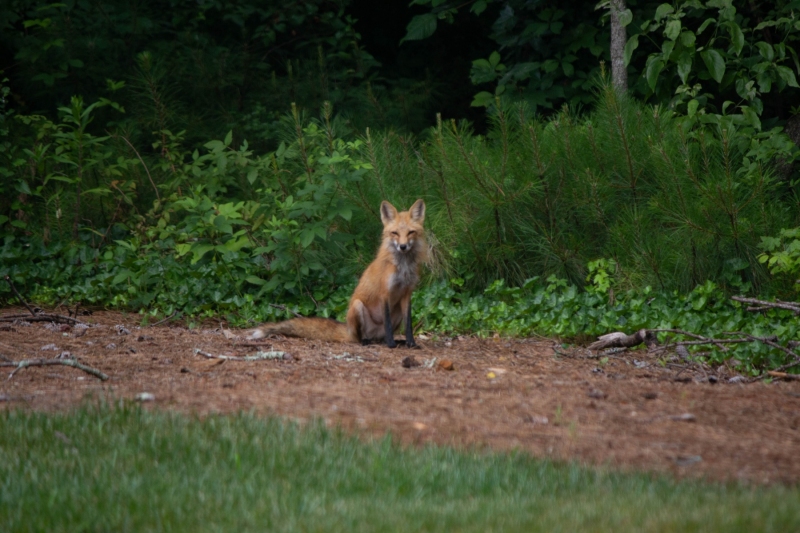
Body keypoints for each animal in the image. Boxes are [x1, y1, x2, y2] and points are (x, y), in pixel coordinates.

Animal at [248, 199, 427, 348]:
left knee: (382, 336)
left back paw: (397, 341)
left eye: (410, 232)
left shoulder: (407, 294)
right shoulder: (385, 293)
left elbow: (409, 325)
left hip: (396, 312)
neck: (403, 267)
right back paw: (367, 341)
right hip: (357, 307)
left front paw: (411, 343)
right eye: (395, 233)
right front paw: (391, 345)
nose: (403, 246)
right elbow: (388, 325)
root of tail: (348, 330)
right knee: (359, 338)